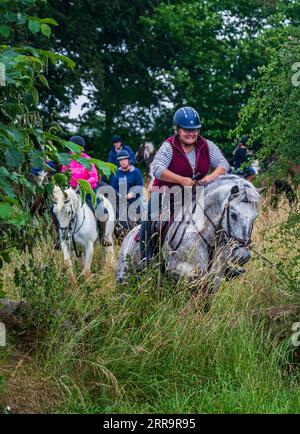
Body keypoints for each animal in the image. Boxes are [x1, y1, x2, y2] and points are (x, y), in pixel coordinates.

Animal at [116, 175, 262, 294]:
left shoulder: (214, 279)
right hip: (124, 278)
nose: (243, 255)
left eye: (255, 217)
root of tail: (129, 235)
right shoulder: (179, 271)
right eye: (233, 215)